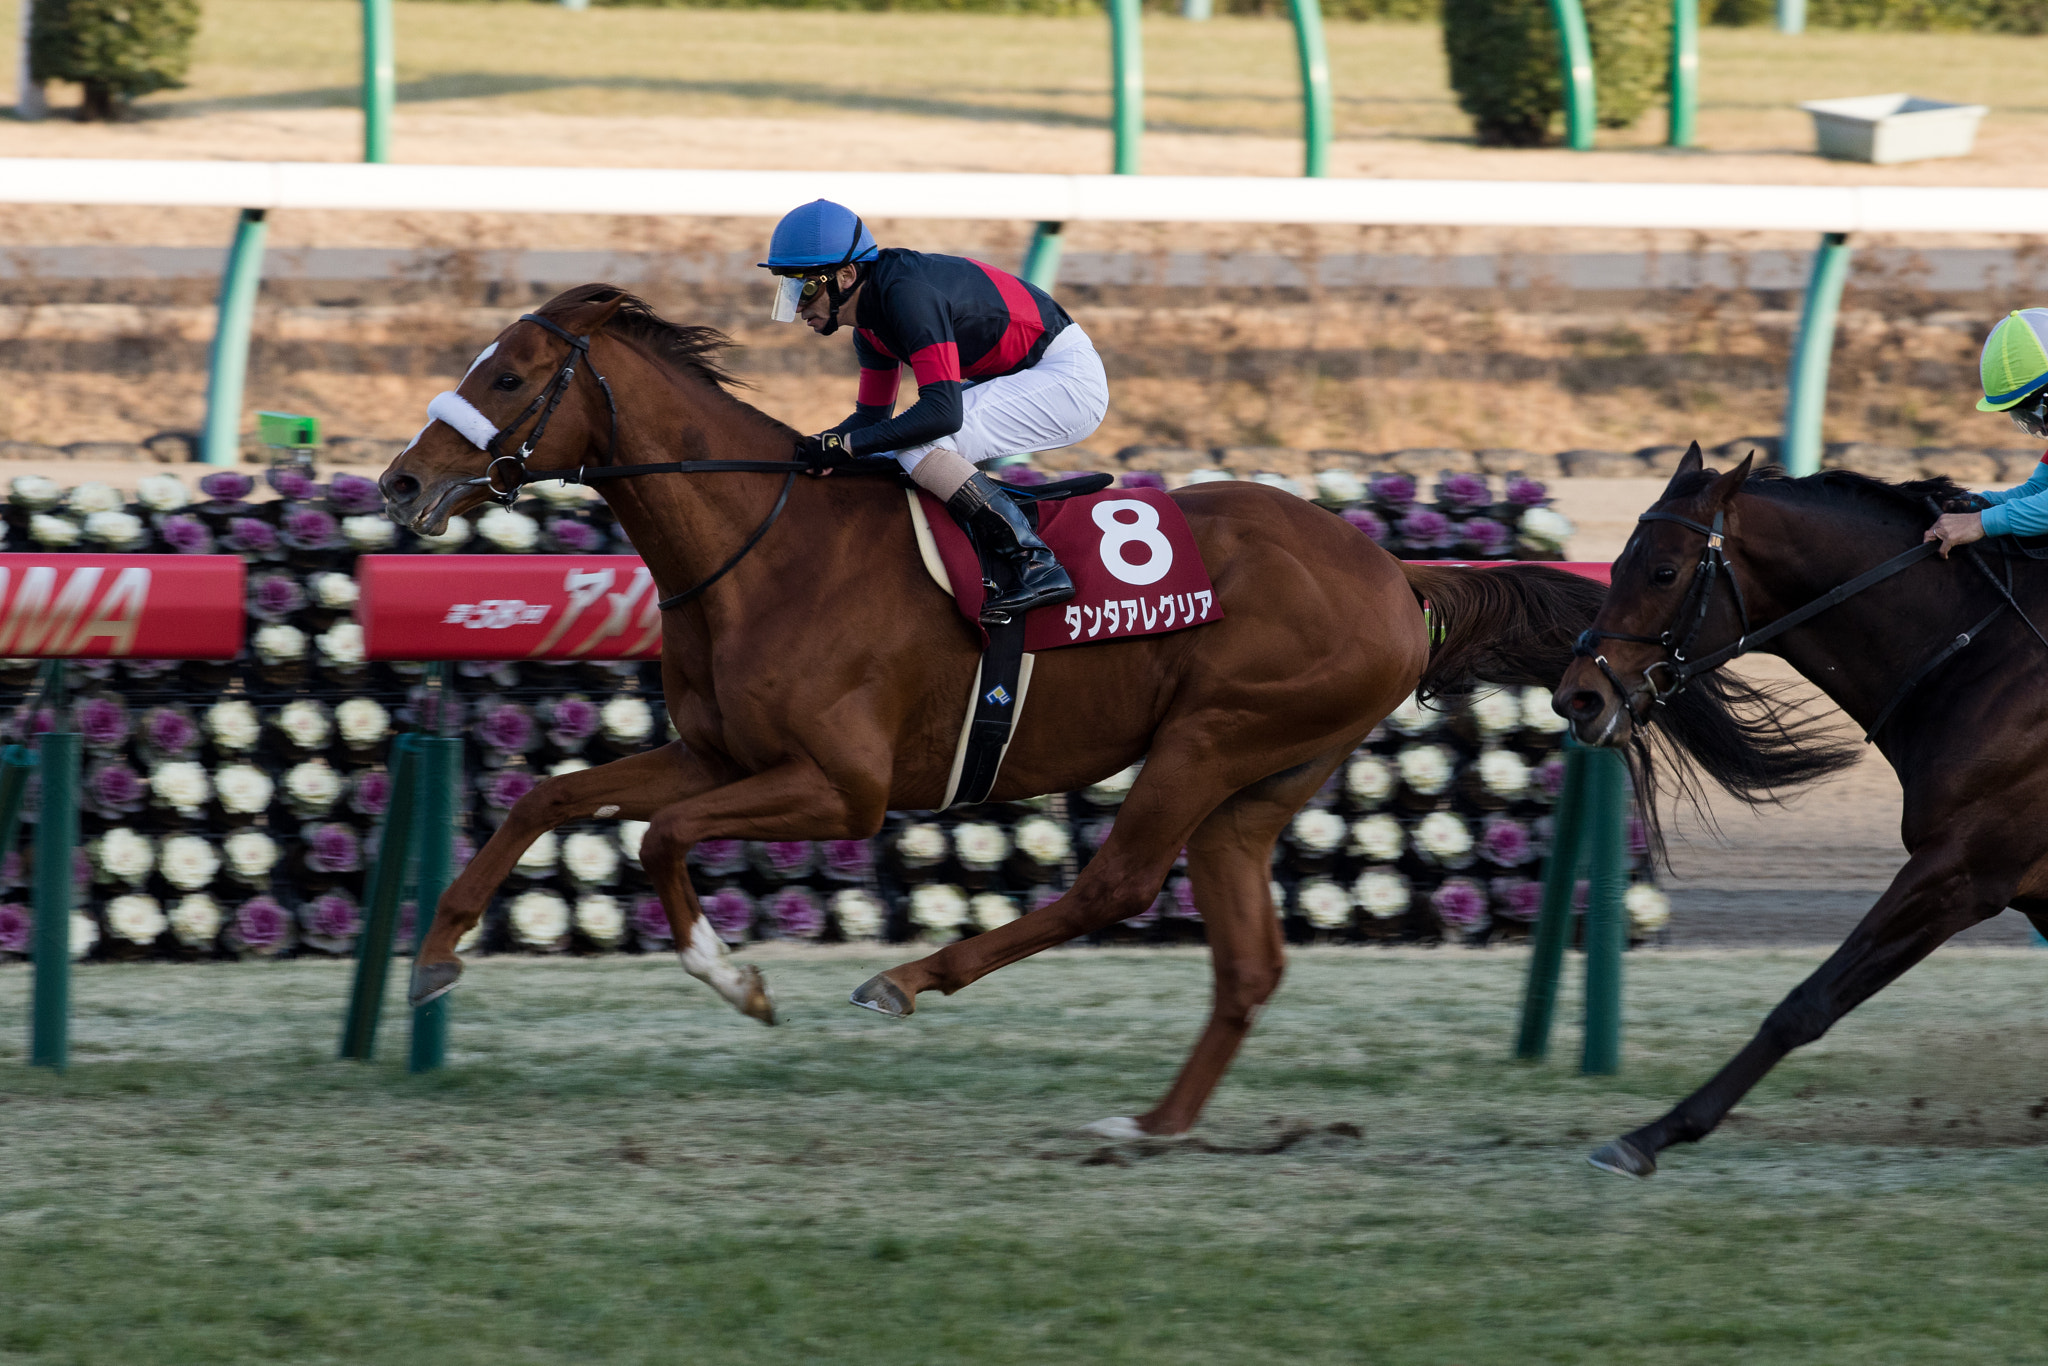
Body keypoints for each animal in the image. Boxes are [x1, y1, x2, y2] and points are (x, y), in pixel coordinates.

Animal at [376, 290, 1785, 1146]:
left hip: (1212, 736)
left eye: (508, 372)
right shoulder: (719, 749)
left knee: (1115, 882)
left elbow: (659, 840)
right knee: (1246, 958)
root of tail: (1396, 574)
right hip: (1262, 778)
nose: (398, 481)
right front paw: (436, 954)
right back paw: (1153, 1125)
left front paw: (740, 980)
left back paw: (909, 979)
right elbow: (551, 794)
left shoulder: (840, 786)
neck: (760, 543)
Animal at [1556, 446, 2039, 1179]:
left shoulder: (1963, 867)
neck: (1981, 657)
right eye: (1612, 565)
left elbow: (1806, 1003)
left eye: (1663, 569)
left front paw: (1652, 1134)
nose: (1577, 698)